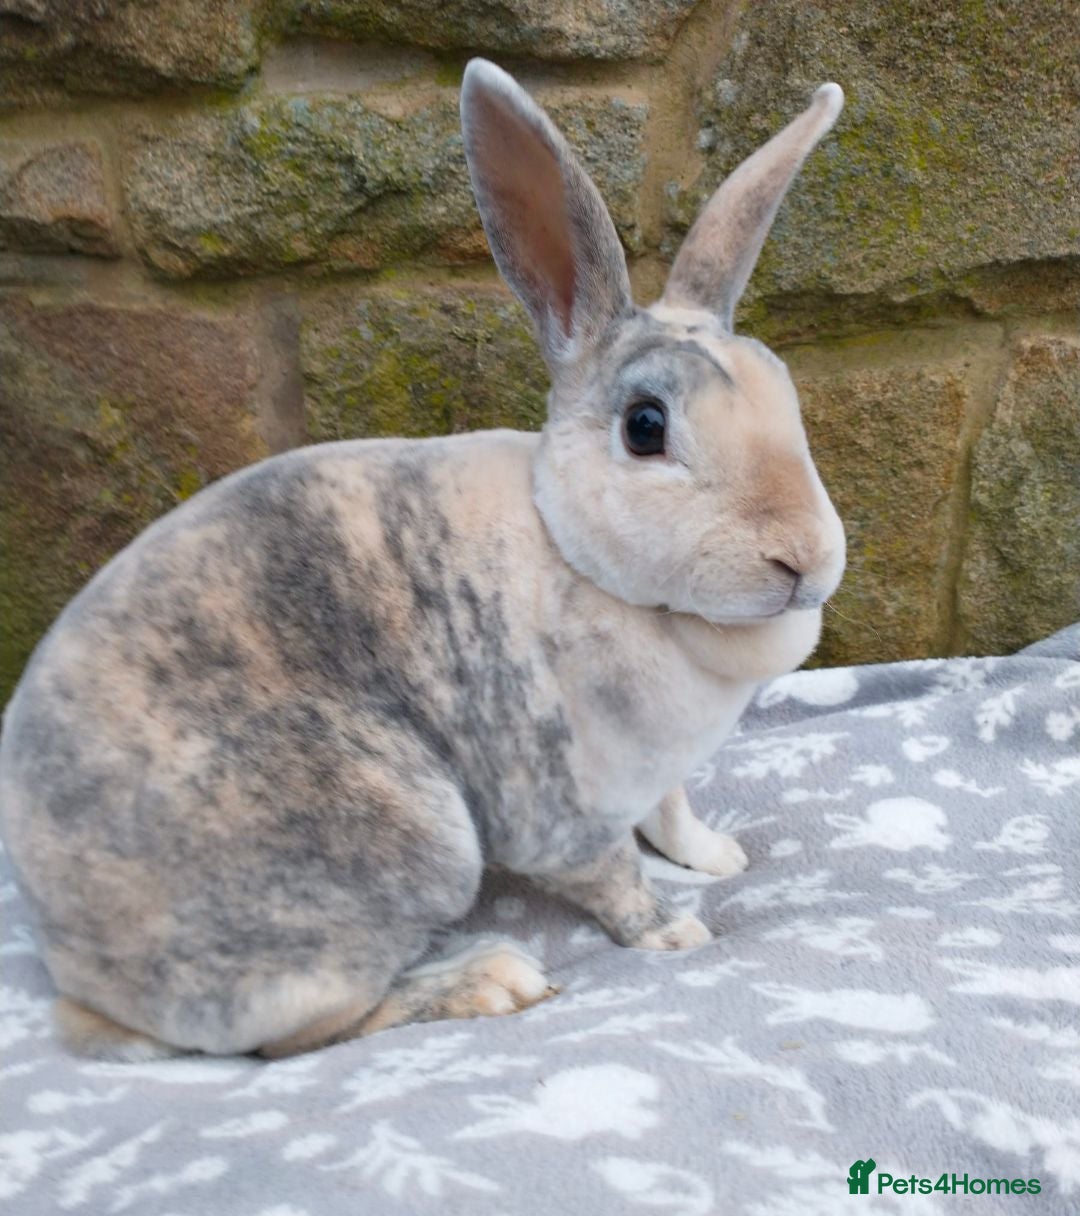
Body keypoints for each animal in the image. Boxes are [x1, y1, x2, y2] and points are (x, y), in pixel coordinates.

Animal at [0, 59, 845, 1060]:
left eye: (785, 390)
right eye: (646, 426)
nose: (804, 558)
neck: (580, 559)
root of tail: (86, 980)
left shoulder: (659, 771)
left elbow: (673, 810)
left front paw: (717, 856)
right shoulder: (565, 808)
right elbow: (612, 881)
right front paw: (674, 931)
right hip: (410, 839)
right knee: (301, 1031)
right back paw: (490, 980)